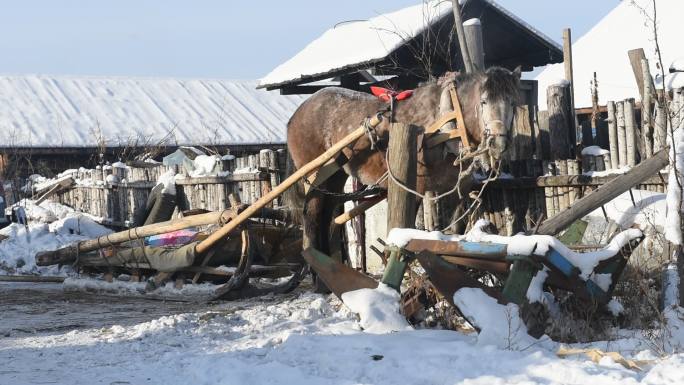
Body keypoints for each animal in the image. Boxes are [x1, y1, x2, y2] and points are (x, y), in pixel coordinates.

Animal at [286, 66, 520, 264]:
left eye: (513, 103)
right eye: (484, 102)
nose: (498, 143)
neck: (447, 120)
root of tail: (297, 113)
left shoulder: (458, 189)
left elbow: (456, 230)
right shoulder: (414, 185)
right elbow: (407, 228)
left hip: (335, 174)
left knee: (327, 216)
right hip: (315, 174)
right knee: (312, 217)